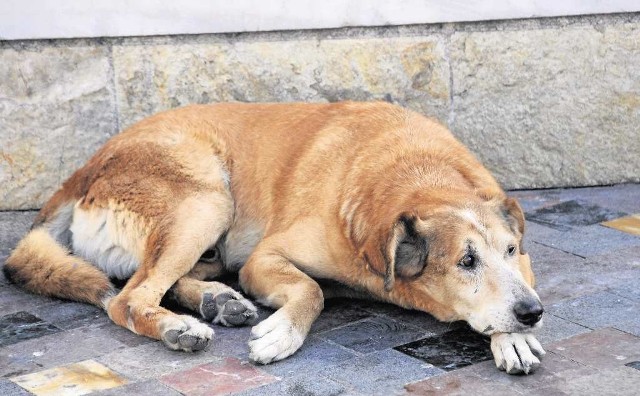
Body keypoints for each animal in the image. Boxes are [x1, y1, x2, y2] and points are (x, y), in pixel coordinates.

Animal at [5, 102, 544, 374]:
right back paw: (180, 327)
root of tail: (87, 167)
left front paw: (514, 339)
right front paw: (282, 332)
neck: (414, 174)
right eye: (466, 262)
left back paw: (216, 301)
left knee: (167, 280)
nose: (532, 314)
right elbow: (311, 291)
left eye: (509, 250)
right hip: (206, 200)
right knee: (130, 297)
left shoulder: (524, 264)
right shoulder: (266, 257)